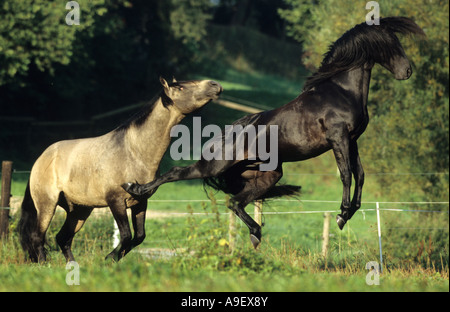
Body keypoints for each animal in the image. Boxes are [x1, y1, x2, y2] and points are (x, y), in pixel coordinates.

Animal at [19, 77, 223, 260]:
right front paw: (109, 258)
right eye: (180, 88)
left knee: (63, 239)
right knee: (38, 237)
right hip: (47, 204)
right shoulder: (115, 201)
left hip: (80, 210)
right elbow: (126, 236)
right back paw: (44, 264)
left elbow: (139, 236)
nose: (215, 85)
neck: (134, 151)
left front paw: (113, 258)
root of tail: (41, 158)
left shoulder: (140, 202)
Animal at [124, 17, 426, 250]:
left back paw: (256, 235)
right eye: (388, 43)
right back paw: (134, 189)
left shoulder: (353, 140)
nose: (407, 71)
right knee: (177, 173)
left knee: (235, 202)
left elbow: (360, 175)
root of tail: (223, 136)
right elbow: (346, 175)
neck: (340, 91)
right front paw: (342, 215)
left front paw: (348, 213)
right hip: (215, 166)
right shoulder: (338, 138)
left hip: (267, 176)